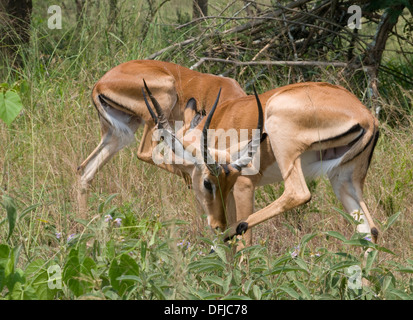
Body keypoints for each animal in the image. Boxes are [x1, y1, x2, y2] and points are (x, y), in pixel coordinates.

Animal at [142, 81, 380, 246]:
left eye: (208, 183)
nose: (217, 226)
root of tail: (367, 117)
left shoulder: (243, 186)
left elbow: (244, 242)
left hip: (285, 148)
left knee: (295, 195)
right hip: (344, 179)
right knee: (370, 230)